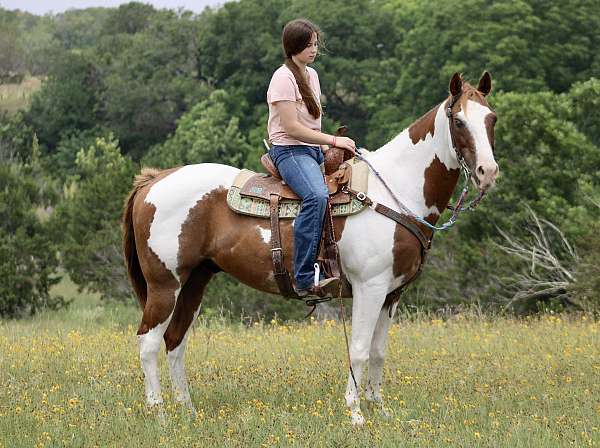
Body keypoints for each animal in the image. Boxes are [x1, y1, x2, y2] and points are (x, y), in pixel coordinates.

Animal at [120, 72, 496, 426]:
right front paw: (355, 413)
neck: (393, 192)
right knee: (148, 342)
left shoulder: (392, 293)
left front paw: (380, 409)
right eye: (459, 121)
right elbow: (359, 350)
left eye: (491, 119)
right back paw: (159, 413)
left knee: (175, 341)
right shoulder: (370, 288)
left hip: (195, 281)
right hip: (165, 285)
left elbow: (378, 352)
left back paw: (188, 411)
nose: (487, 171)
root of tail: (152, 180)